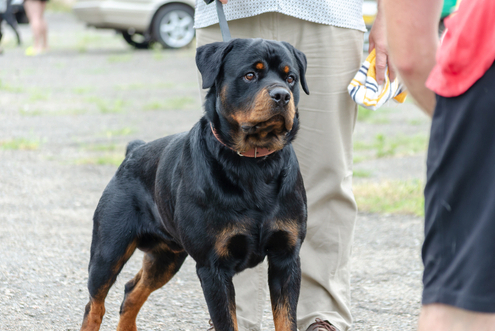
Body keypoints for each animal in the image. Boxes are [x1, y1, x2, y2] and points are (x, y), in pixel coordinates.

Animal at [79, 37, 308, 330]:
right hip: (108, 251)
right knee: (94, 304)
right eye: (250, 75)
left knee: (131, 291)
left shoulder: (285, 258)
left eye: (291, 78)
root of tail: (133, 151)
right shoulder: (213, 267)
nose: (282, 95)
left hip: (166, 257)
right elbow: (227, 322)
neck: (254, 164)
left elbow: (287, 319)